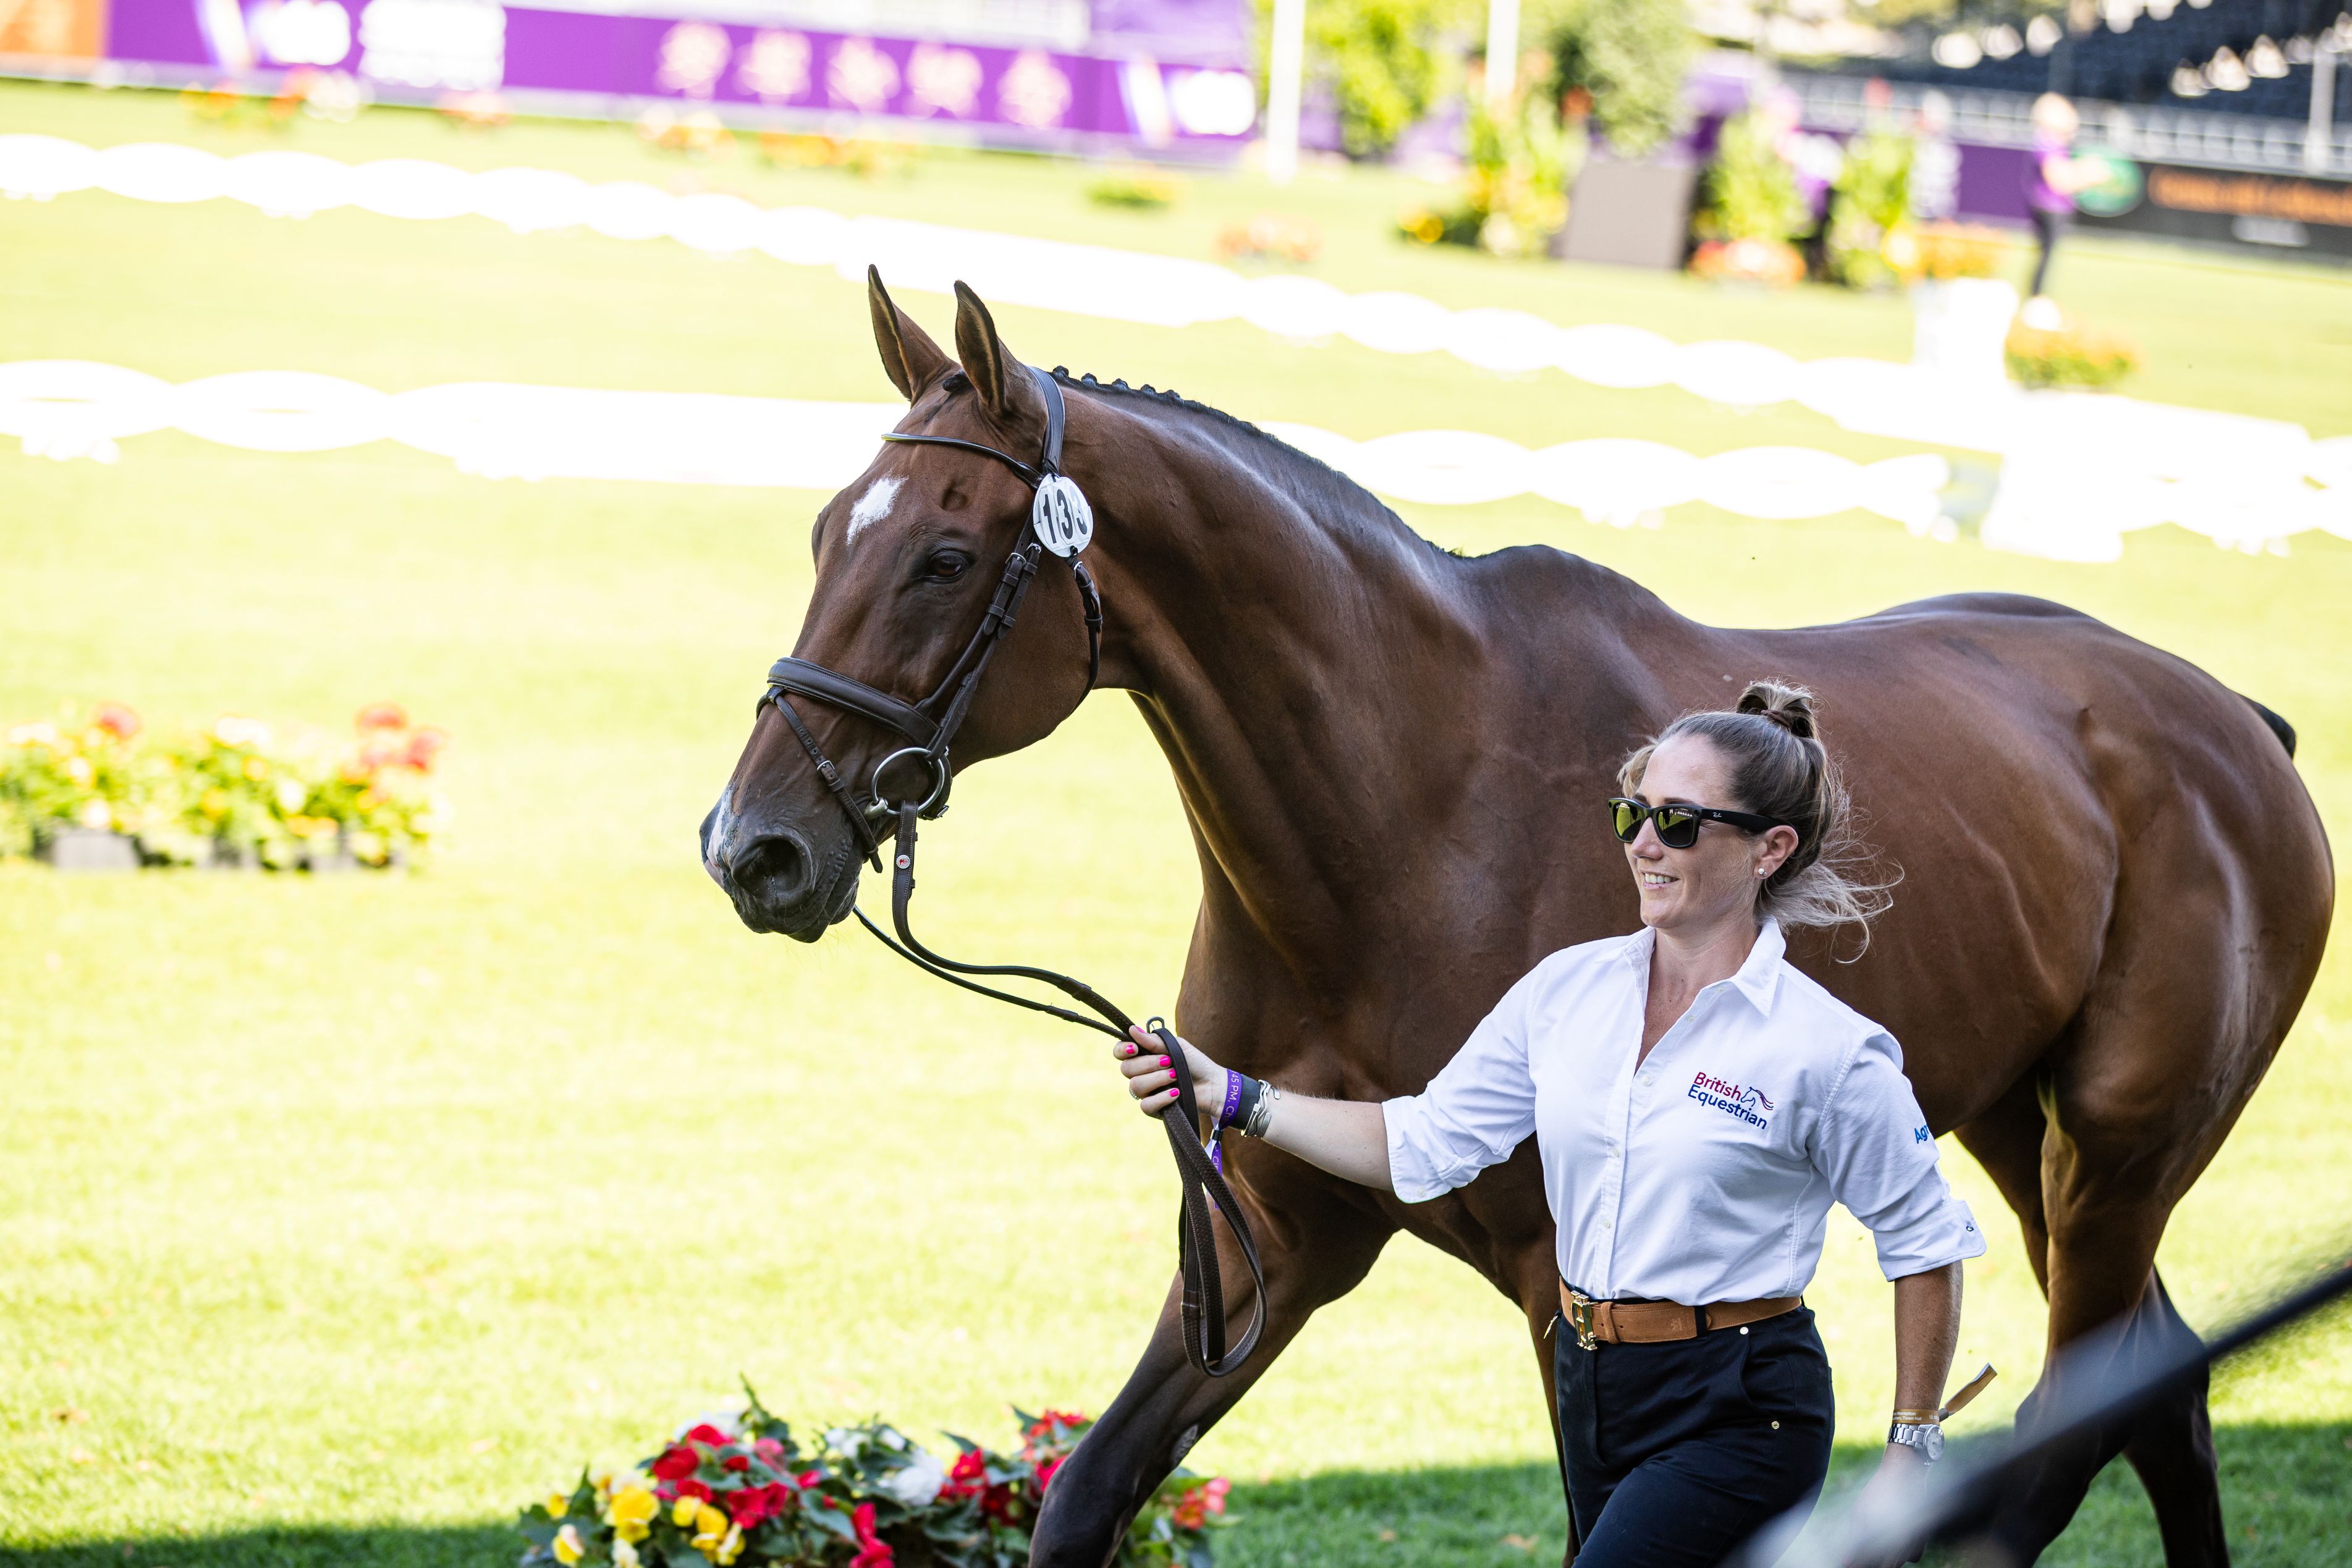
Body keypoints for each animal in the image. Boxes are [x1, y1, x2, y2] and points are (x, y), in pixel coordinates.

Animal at [703, 274, 2333, 1567]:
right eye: (820, 535)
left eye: (942, 557)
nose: (753, 848)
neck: (1411, 815)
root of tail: (2236, 728)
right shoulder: (1271, 1234)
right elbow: (1086, 1491)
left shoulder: (1570, 1285)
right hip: (2018, 1131)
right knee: (2164, 1387)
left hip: (2114, 1159)